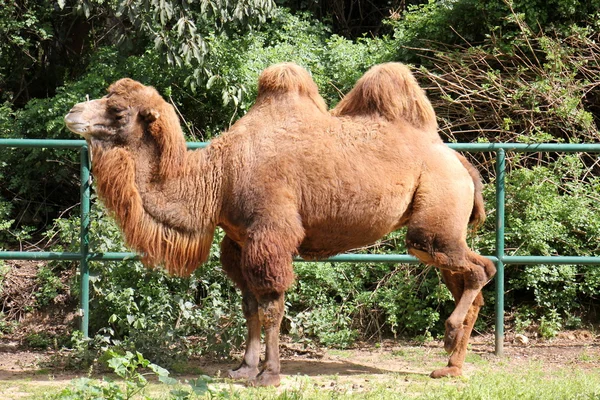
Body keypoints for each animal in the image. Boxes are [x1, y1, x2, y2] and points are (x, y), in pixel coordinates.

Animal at [65, 63, 496, 388]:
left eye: (118, 110)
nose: (72, 113)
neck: (218, 179)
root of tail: (461, 162)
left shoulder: (269, 234)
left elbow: (272, 305)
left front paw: (269, 374)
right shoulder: (238, 241)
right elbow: (250, 306)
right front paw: (243, 368)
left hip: (433, 220)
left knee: (476, 268)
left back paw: (450, 334)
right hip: (441, 231)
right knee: (473, 272)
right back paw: (451, 366)